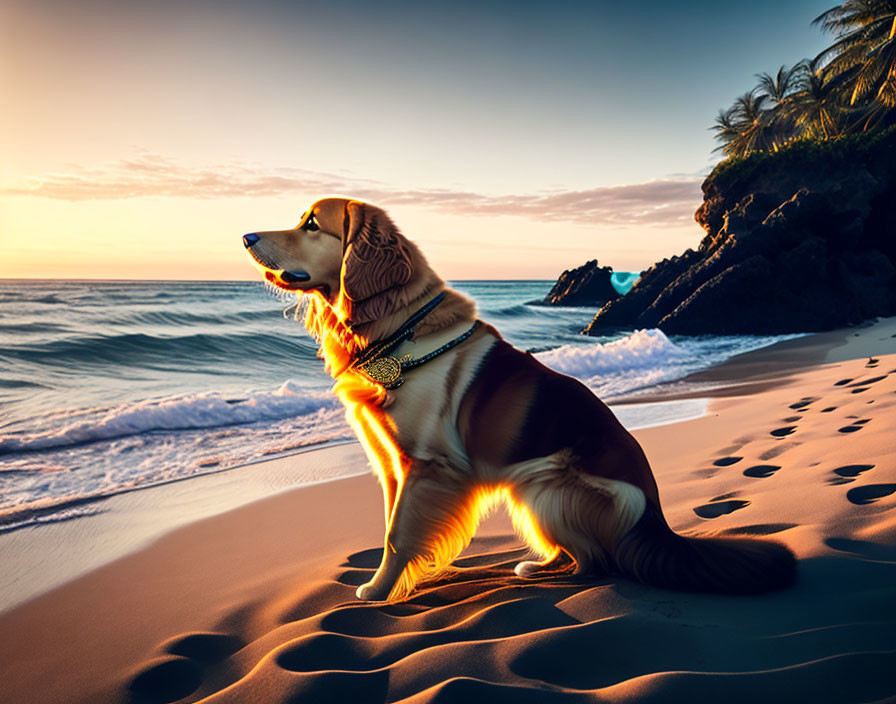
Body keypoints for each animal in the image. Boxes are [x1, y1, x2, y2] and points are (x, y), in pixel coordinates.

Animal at [242, 197, 796, 600]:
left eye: (312, 225)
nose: (245, 236)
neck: (395, 325)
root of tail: (656, 521)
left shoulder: (428, 465)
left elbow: (398, 534)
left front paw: (378, 592)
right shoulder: (393, 465)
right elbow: (390, 526)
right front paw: (390, 582)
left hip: (545, 489)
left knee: (595, 562)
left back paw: (547, 573)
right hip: (526, 492)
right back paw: (536, 564)